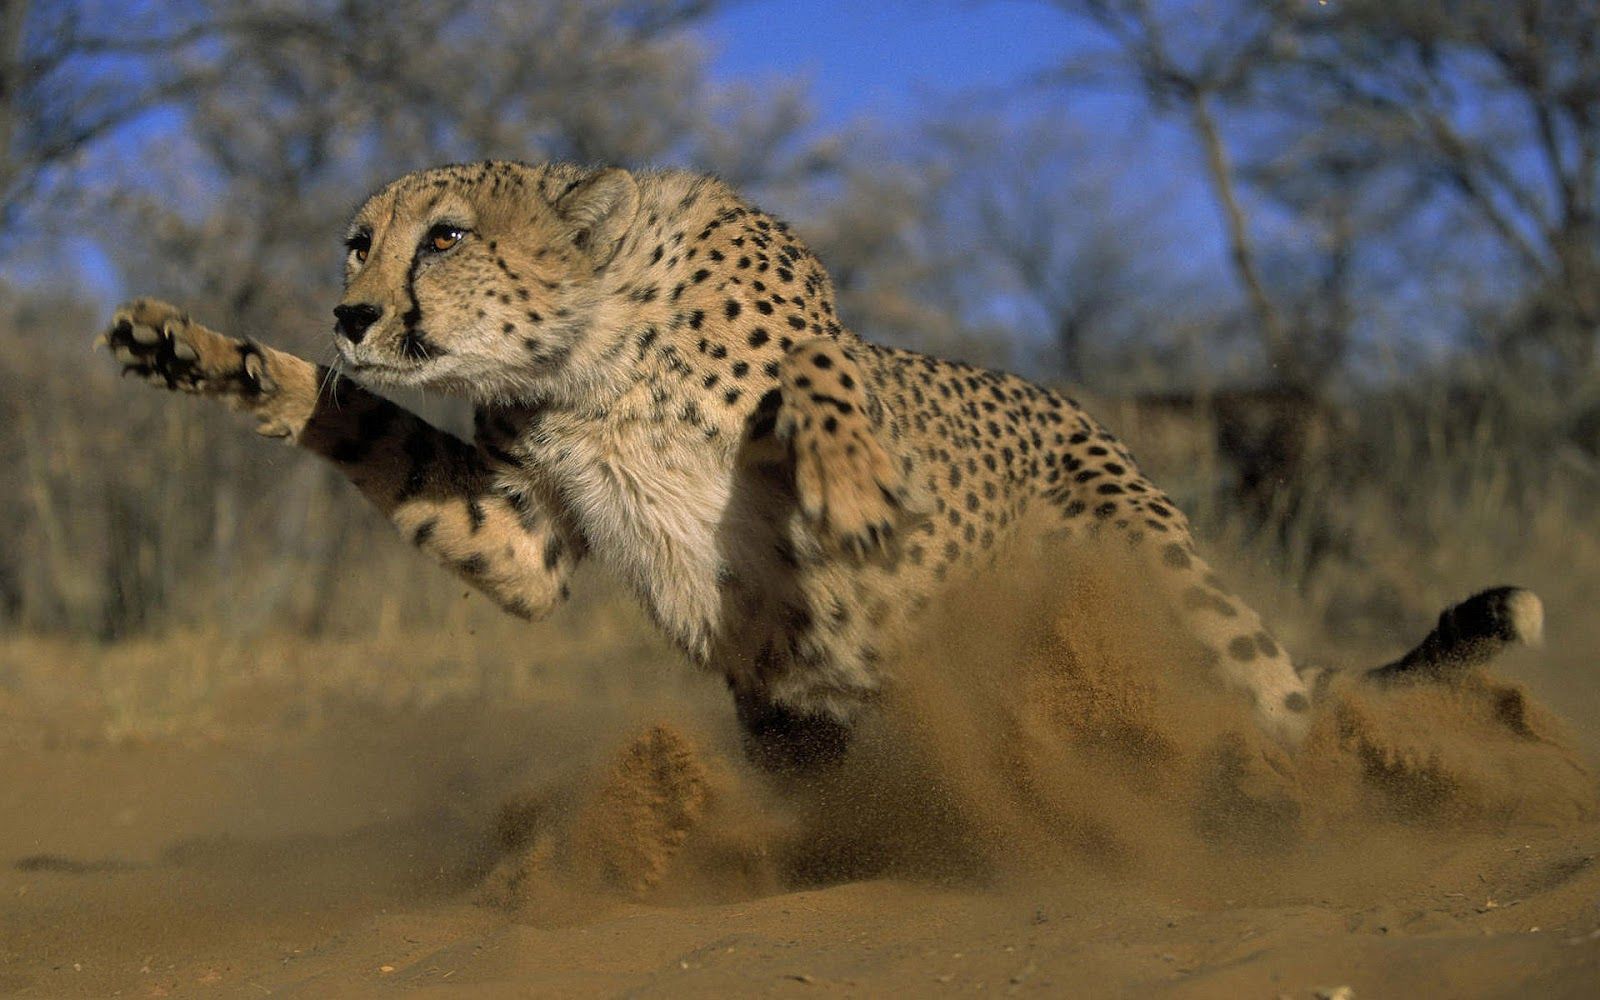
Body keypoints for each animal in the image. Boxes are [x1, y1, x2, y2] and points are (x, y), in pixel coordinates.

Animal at [98, 160, 1544, 771]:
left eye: (444, 237)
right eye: (358, 242)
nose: (349, 312)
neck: (590, 359)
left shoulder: (815, 332)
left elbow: (824, 379)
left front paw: (846, 485)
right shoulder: (521, 533)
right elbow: (360, 425)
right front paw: (206, 353)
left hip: (1156, 574)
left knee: (1274, 703)